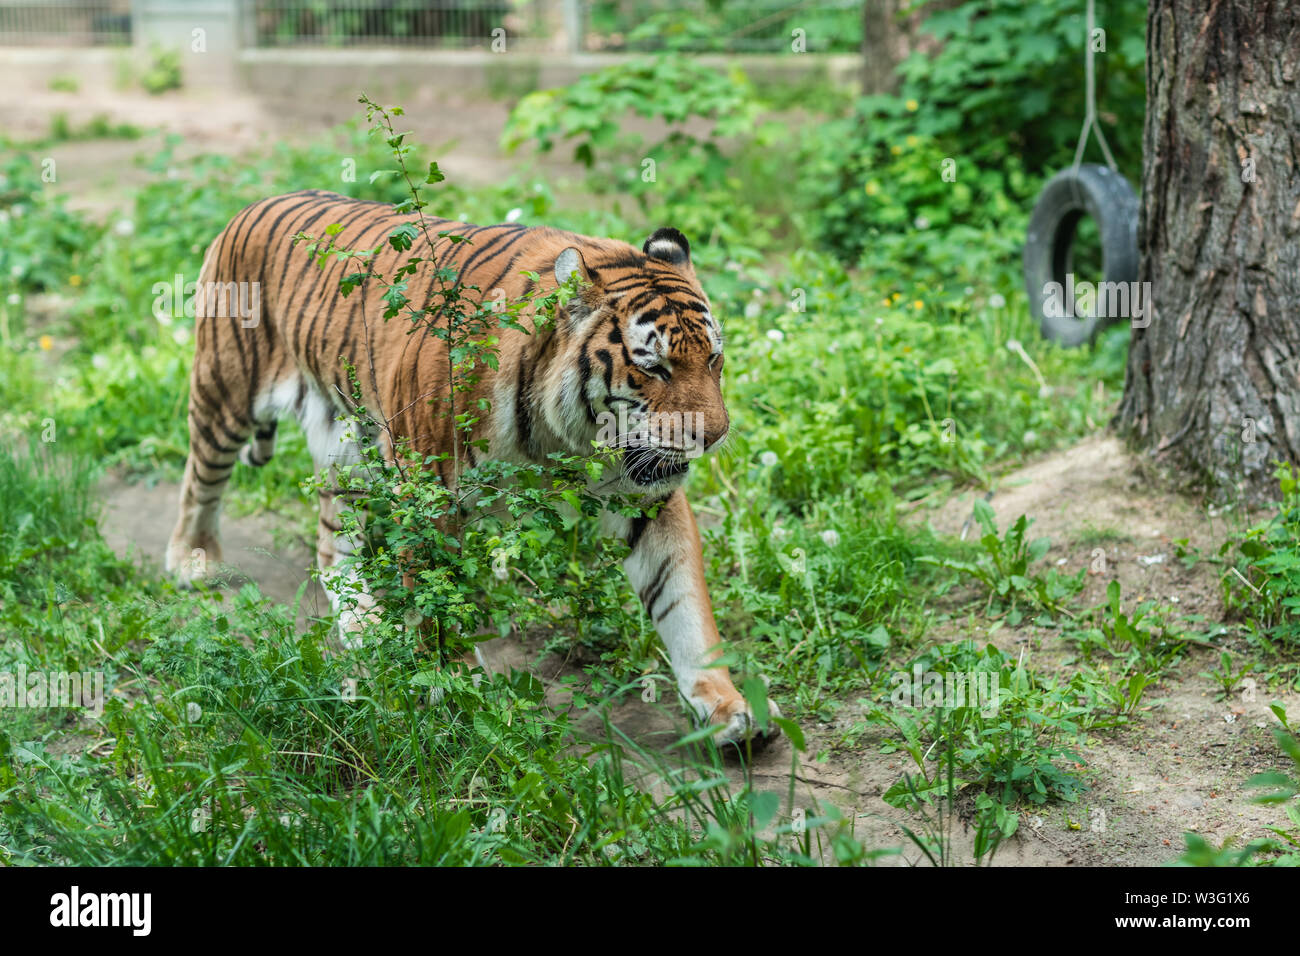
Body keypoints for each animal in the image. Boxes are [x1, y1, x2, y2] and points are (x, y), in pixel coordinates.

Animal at [163, 188, 780, 749]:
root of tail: (253, 204)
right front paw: (455, 686)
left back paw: (366, 624)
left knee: (332, 541)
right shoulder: (429, 494)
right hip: (226, 390)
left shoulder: (642, 494)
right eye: (654, 367)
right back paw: (194, 562)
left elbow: (684, 602)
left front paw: (726, 705)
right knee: (199, 480)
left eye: (714, 359)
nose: (713, 435)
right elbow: (440, 602)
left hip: (348, 441)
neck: (567, 437)